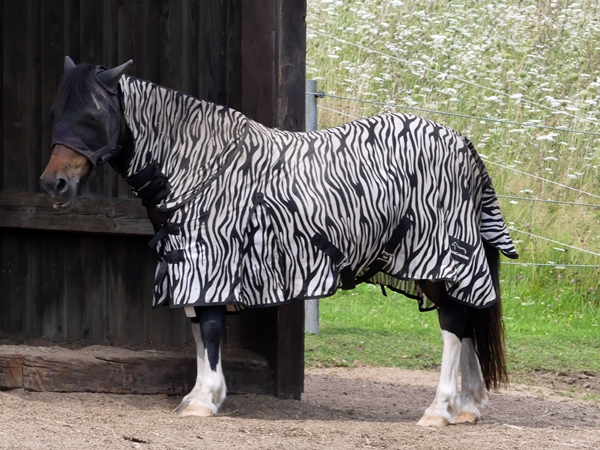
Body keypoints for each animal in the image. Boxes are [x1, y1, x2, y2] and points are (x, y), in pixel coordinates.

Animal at [40, 57, 518, 426]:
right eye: (56, 110)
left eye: (92, 115)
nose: (53, 184)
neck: (199, 166)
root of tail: (462, 144)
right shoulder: (188, 264)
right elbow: (197, 329)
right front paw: (200, 394)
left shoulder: (209, 262)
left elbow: (209, 328)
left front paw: (204, 400)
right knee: (467, 321)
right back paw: (468, 408)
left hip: (440, 260)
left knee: (454, 324)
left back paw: (439, 409)